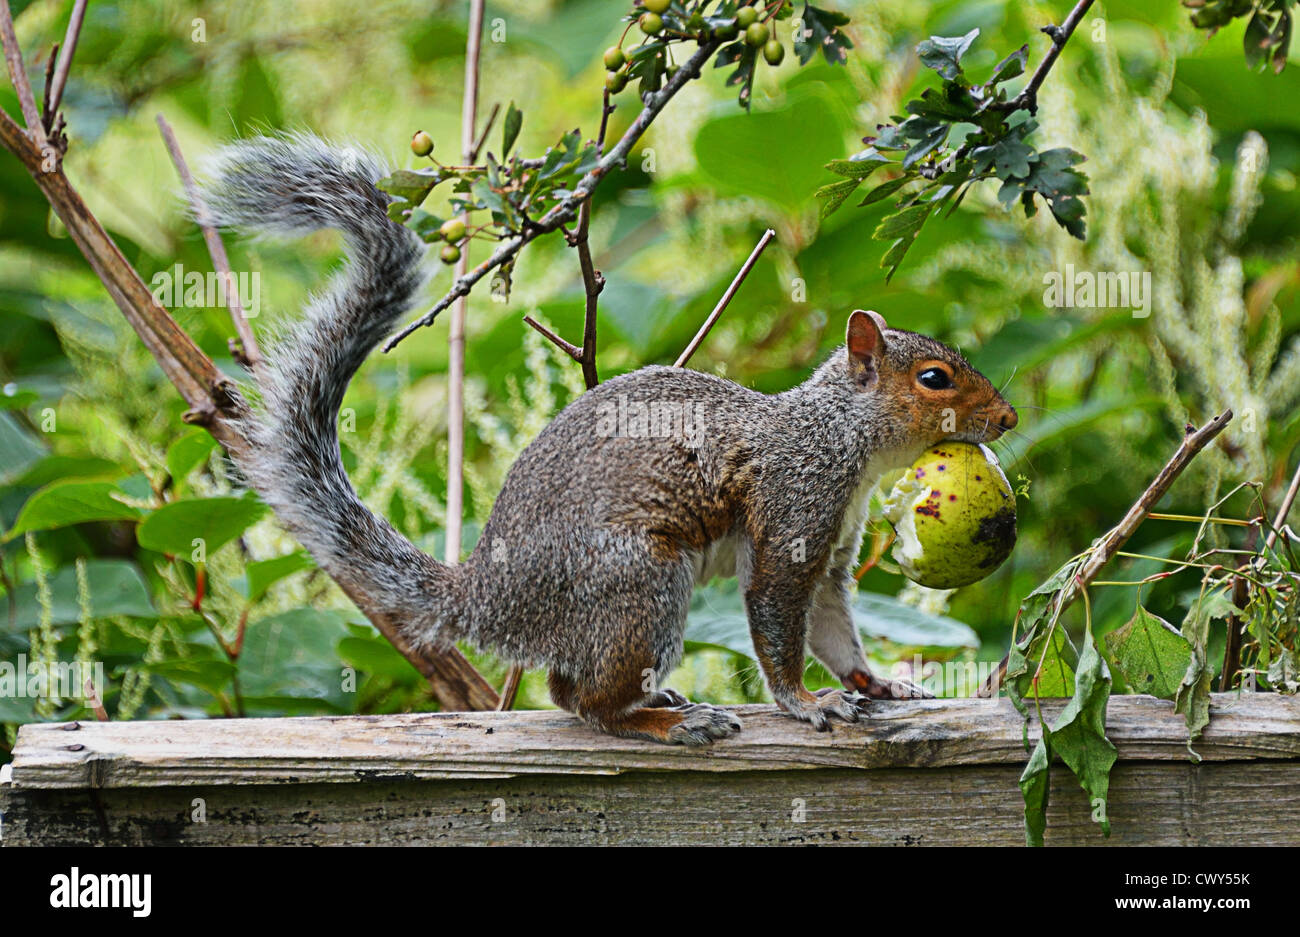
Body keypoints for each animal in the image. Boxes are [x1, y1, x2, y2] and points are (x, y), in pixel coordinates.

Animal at [200, 133, 1013, 743]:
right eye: (936, 378)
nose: (1006, 419)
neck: (839, 435)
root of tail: (487, 598)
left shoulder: (834, 551)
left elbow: (834, 626)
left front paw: (877, 682)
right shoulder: (793, 512)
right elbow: (778, 621)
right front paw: (805, 702)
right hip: (637, 583)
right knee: (577, 699)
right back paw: (664, 722)